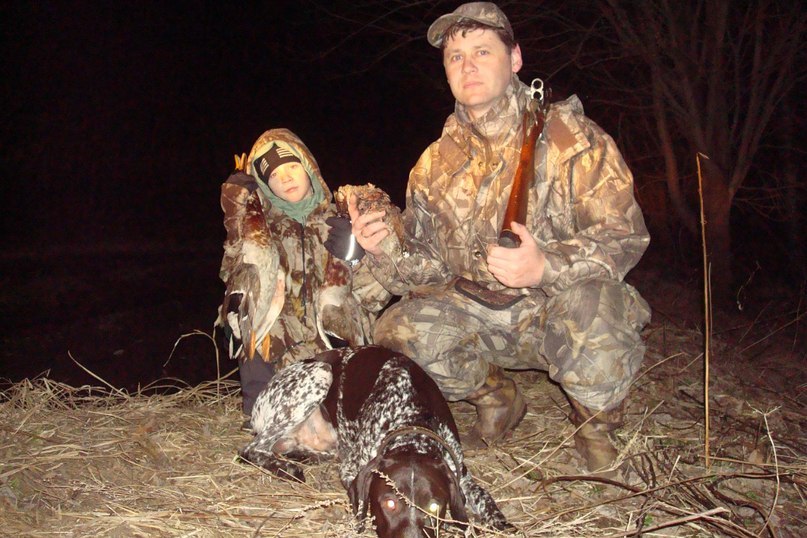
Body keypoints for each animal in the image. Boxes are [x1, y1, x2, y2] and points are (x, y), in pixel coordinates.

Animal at [239, 345, 513, 537]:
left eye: (434, 506)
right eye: (389, 504)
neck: (412, 418)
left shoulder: (459, 471)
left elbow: (485, 498)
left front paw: (502, 523)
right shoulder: (352, 468)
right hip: (320, 374)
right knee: (251, 450)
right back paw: (286, 467)